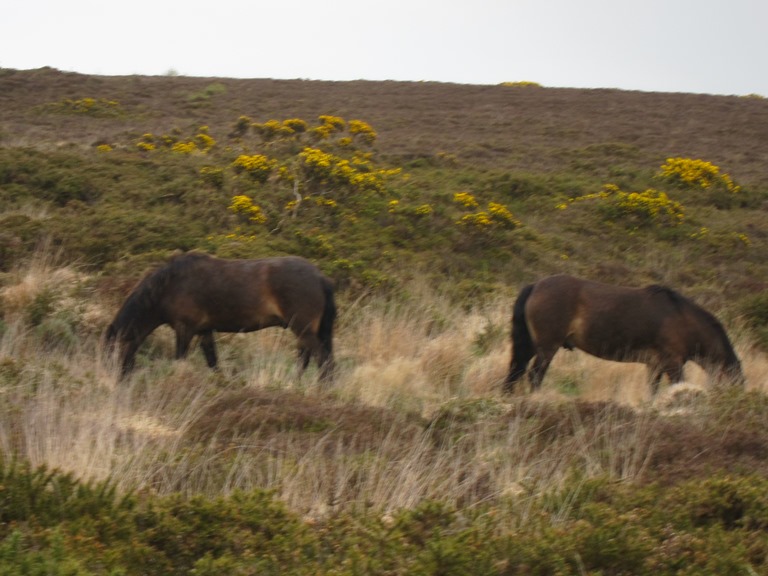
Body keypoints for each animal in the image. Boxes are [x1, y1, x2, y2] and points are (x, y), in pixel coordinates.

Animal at [105, 253, 336, 380]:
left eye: (113, 350)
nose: (114, 379)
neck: (170, 286)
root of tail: (320, 277)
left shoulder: (184, 329)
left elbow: (180, 358)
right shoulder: (204, 331)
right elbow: (212, 362)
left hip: (303, 328)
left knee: (323, 360)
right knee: (306, 360)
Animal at [504, 276, 744, 394]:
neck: (681, 317)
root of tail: (536, 286)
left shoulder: (655, 365)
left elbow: (652, 391)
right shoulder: (673, 363)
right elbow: (678, 385)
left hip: (532, 346)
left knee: (518, 369)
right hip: (547, 347)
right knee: (535, 375)